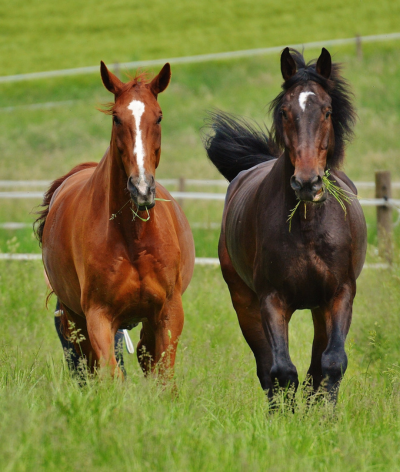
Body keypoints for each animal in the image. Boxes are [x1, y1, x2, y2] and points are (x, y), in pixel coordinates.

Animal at [35, 62, 195, 378]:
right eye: (117, 118)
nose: (142, 188)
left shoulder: (169, 313)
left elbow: (163, 376)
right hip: (76, 320)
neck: (133, 238)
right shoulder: (98, 316)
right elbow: (111, 374)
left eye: (159, 117)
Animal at [205, 48, 368, 402]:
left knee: (317, 366)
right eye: (284, 111)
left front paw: (325, 415)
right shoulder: (272, 300)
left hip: (319, 309)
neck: (308, 228)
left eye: (327, 111)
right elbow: (281, 372)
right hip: (245, 303)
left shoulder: (340, 294)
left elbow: (331, 364)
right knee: (268, 369)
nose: (307, 182)